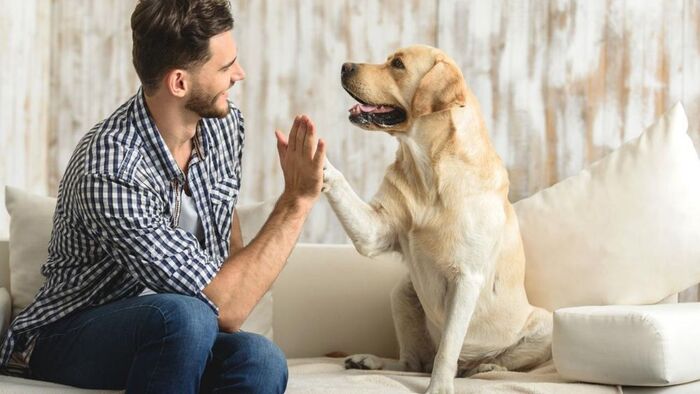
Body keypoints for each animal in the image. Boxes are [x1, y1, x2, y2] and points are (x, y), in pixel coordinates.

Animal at [322, 46, 552, 394]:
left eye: (398, 64)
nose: (345, 66)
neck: (428, 170)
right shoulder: (374, 232)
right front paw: (313, 158)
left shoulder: (466, 278)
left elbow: (448, 348)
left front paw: (440, 387)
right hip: (402, 293)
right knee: (413, 363)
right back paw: (369, 360)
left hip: (545, 325)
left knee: (484, 363)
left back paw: (485, 365)